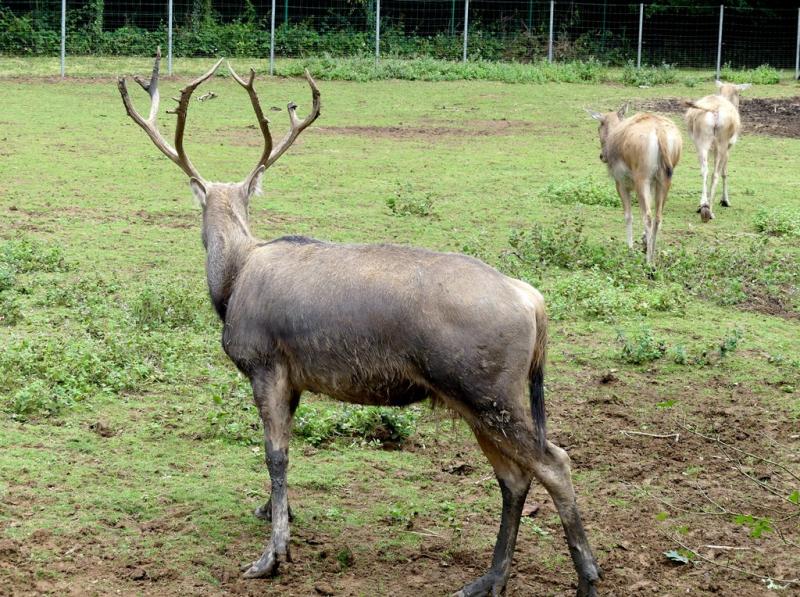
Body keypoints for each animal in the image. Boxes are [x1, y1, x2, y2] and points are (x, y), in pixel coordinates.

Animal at [118, 49, 600, 597]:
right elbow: (287, 450)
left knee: (555, 462)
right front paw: (275, 514)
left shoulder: (264, 363)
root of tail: (533, 301)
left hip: (488, 389)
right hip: (475, 399)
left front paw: (272, 554)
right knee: (514, 477)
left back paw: (586, 577)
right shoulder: (296, 379)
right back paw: (489, 577)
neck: (230, 283)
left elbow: (274, 454)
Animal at [587, 104, 682, 265]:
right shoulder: (652, 184)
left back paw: (648, 261)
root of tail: (659, 131)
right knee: (658, 217)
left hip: (641, 180)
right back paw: (653, 256)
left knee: (648, 217)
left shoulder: (620, 183)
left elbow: (628, 215)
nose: (602, 156)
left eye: (599, 126)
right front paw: (643, 241)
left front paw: (630, 249)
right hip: (664, 180)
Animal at [684, 81, 751, 223]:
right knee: (716, 174)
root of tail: (714, 111)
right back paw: (710, 212)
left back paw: (703, 206)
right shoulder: (729, 147)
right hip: (722, 144)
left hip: (702, 143)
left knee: (704, 171)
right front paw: (725, 201)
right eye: (739, 92)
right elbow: (725, 172)